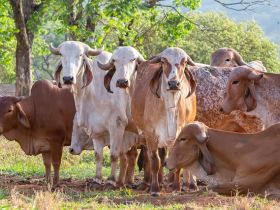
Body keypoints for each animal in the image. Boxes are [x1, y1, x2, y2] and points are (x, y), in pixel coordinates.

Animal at [132, 46, 196, 196]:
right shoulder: (151, 134)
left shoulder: (179, 136)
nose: (173, 83)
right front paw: (155, 189)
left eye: (184, 61)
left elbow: (176, 163)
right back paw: (157, 183)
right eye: (163, 61)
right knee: (156, 158)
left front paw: (177, 188)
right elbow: (155, 162)